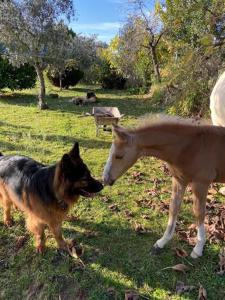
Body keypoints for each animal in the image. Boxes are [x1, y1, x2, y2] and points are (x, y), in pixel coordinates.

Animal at [104, 118, 225, 258]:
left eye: (119, 156)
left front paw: (198, 248)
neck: (191, 146)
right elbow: (173, 208)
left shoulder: (201, 183)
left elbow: (199, 212)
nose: (105, 179)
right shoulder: (179, 180)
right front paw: (161, 242)